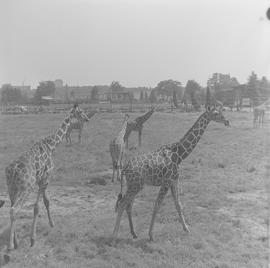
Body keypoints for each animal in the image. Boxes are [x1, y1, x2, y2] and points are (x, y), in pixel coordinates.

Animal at [1, 104, 89, 251]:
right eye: (81, 112)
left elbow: (46, 201)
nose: (87, 119)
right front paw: (33, 239)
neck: (51, 145)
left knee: (12, 208)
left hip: (11, 188)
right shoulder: (45, 178)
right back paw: (10, 246)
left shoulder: (41, 180)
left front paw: (51, 224)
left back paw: (16, 241)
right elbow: (38, 206)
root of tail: (12, 170)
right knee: (14, 210)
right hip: (25, 188)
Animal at [112, 89, 230, 244]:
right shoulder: (167, 182)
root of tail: (125, 169)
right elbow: (157, 206)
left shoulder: (174, 181)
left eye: (221, 111)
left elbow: (178, 204)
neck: (179, 154)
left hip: (135, 185)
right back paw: (114, 235)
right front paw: (151, 235)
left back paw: (134, 233)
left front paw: (186, 229)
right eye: (216, 113)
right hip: (135, 185)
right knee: (122, 204)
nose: (227, 121)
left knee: (128, 205)